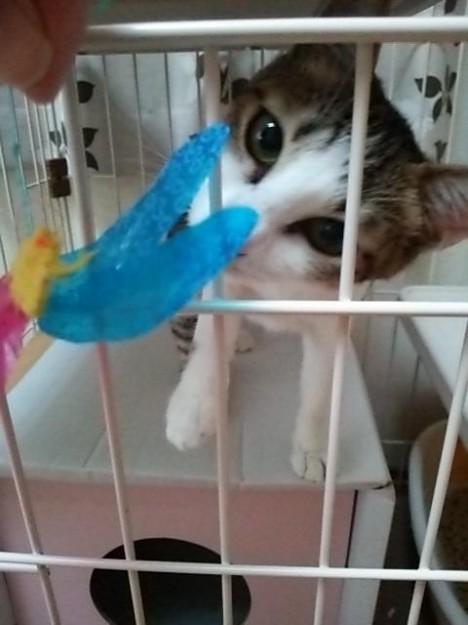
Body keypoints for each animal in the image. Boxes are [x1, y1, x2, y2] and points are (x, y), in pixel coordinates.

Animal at [166, 44, 468, 482]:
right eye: (266, 136)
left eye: (329, 234)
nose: (229, 237)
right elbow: (212, 324)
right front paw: (192, 408)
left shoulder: (337, 313)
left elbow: (321, 386)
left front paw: (311, 448)